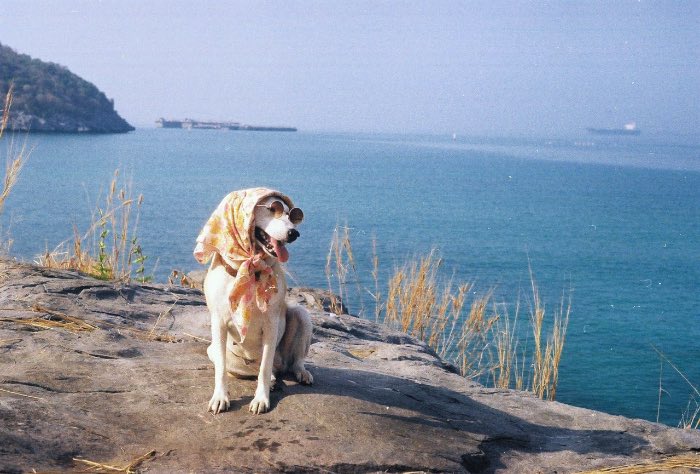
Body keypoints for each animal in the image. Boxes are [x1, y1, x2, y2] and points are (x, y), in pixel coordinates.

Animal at [191, 187, 312, 412]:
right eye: (273, 209)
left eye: (292, 215)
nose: (294, 233)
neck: (250, 268)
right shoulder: (218, 323)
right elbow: (221, 369)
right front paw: (220, 397)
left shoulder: (271, 324)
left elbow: (264, 368)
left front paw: (261, 399)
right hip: (214, 350)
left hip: (301, 317)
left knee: (291, 362)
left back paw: (300, 373)